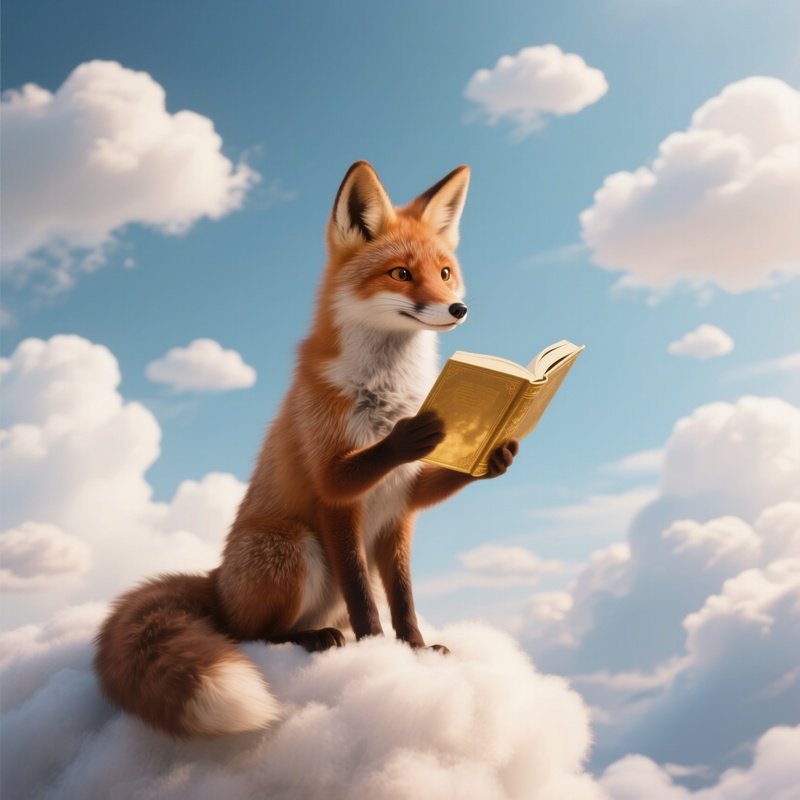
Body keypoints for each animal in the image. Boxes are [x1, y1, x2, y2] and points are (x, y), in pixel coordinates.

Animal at [94, 161, 519, 738]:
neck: (386, 394)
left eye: (446, 272)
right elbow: (364, 590)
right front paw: (376, 652)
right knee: (248, 633)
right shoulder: (336, 494)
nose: (458, 308)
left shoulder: (400, 512)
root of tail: (216, 583)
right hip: (292, 547)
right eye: (401, 274)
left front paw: (415, 650)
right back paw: (311, 639)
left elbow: (404, 598)